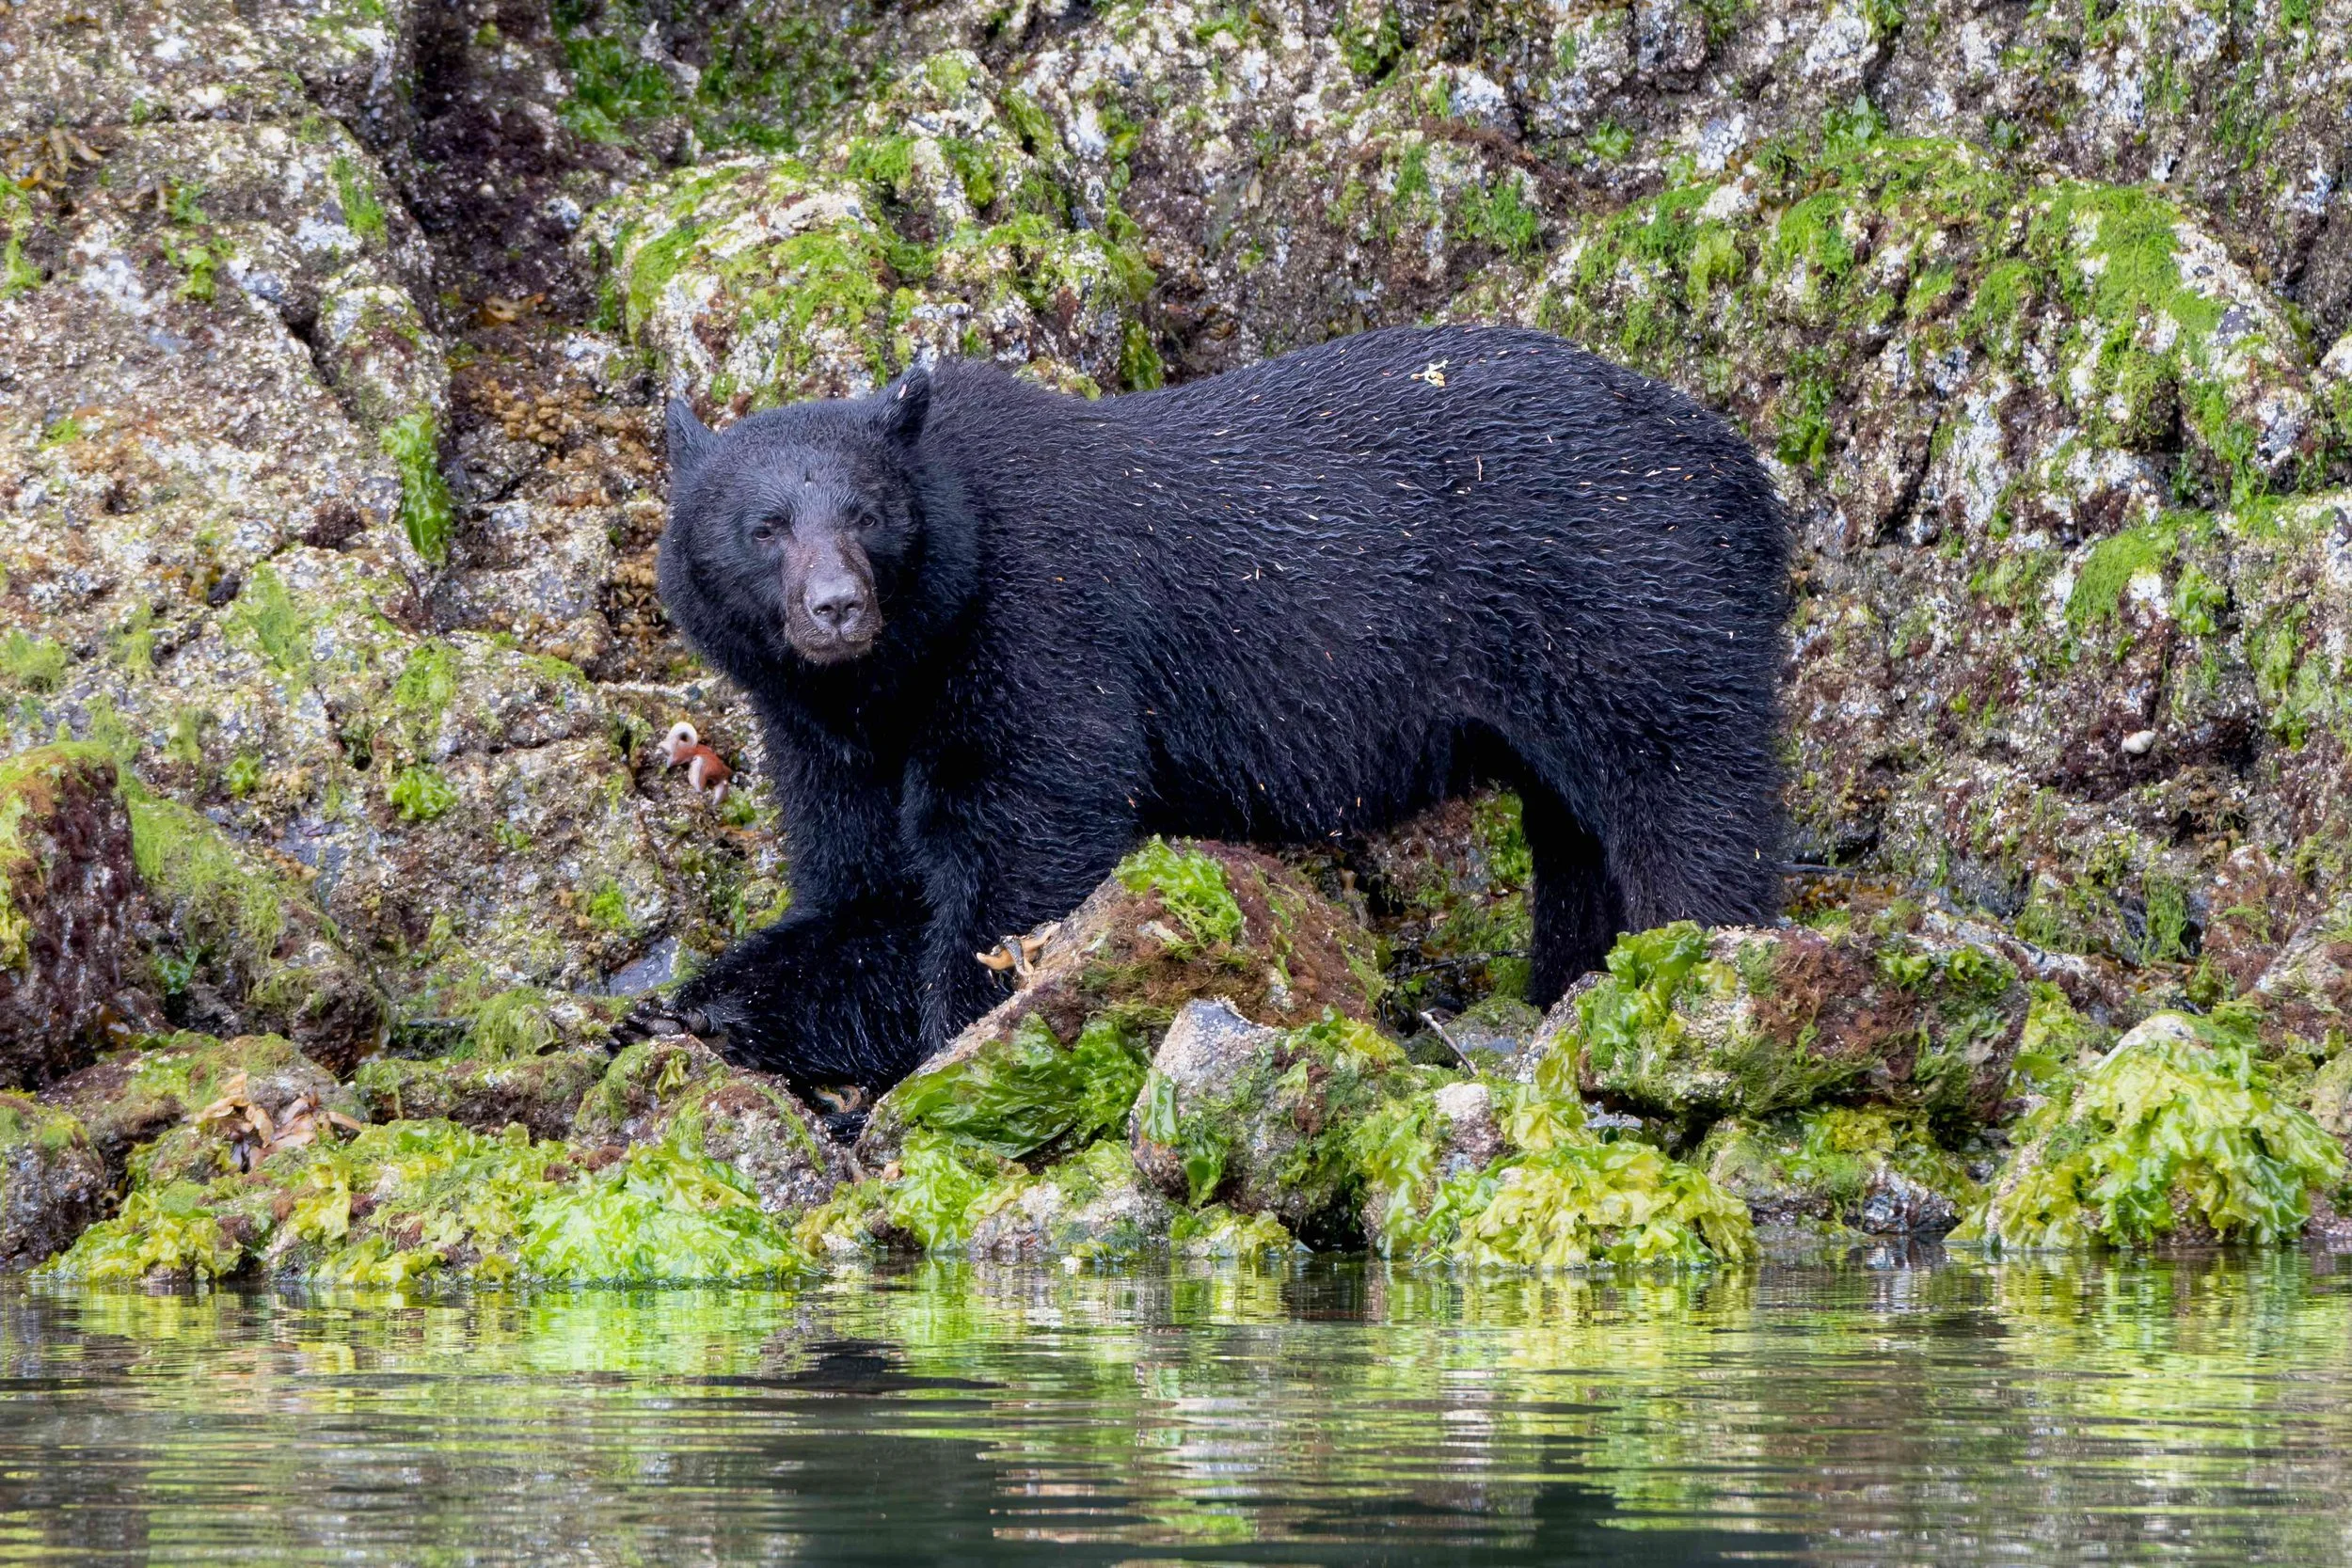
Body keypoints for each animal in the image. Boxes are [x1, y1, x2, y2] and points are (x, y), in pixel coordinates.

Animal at [622, 323, 1790, 1090]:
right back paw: (1566, 984)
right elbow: (866, 881)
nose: (836, 606)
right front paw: (701, 1002)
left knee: (1685, 791)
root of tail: (1741, 467)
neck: (904, 660)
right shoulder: (826, 732)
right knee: (1576, 833)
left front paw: (954, 1043)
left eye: (867, 512)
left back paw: (1687, 960)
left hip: (1628, 591)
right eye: (763, 526)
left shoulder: (1041, 626)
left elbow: (1022, 836)